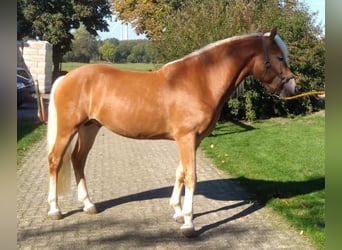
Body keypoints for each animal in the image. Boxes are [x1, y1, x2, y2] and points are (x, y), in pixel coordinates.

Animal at [46, 28, 296, 237]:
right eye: (279, 57)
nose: (293, 87)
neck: (201, 81)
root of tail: (65, 78)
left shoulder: (191, 140)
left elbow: (180, 173)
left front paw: (177, 211)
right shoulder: (186, 138)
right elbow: (191, 176)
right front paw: (189, 223)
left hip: (90, 128)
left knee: (78, 159)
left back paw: (88, 205)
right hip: (68, 129)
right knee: (56, 160)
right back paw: (55, 209)